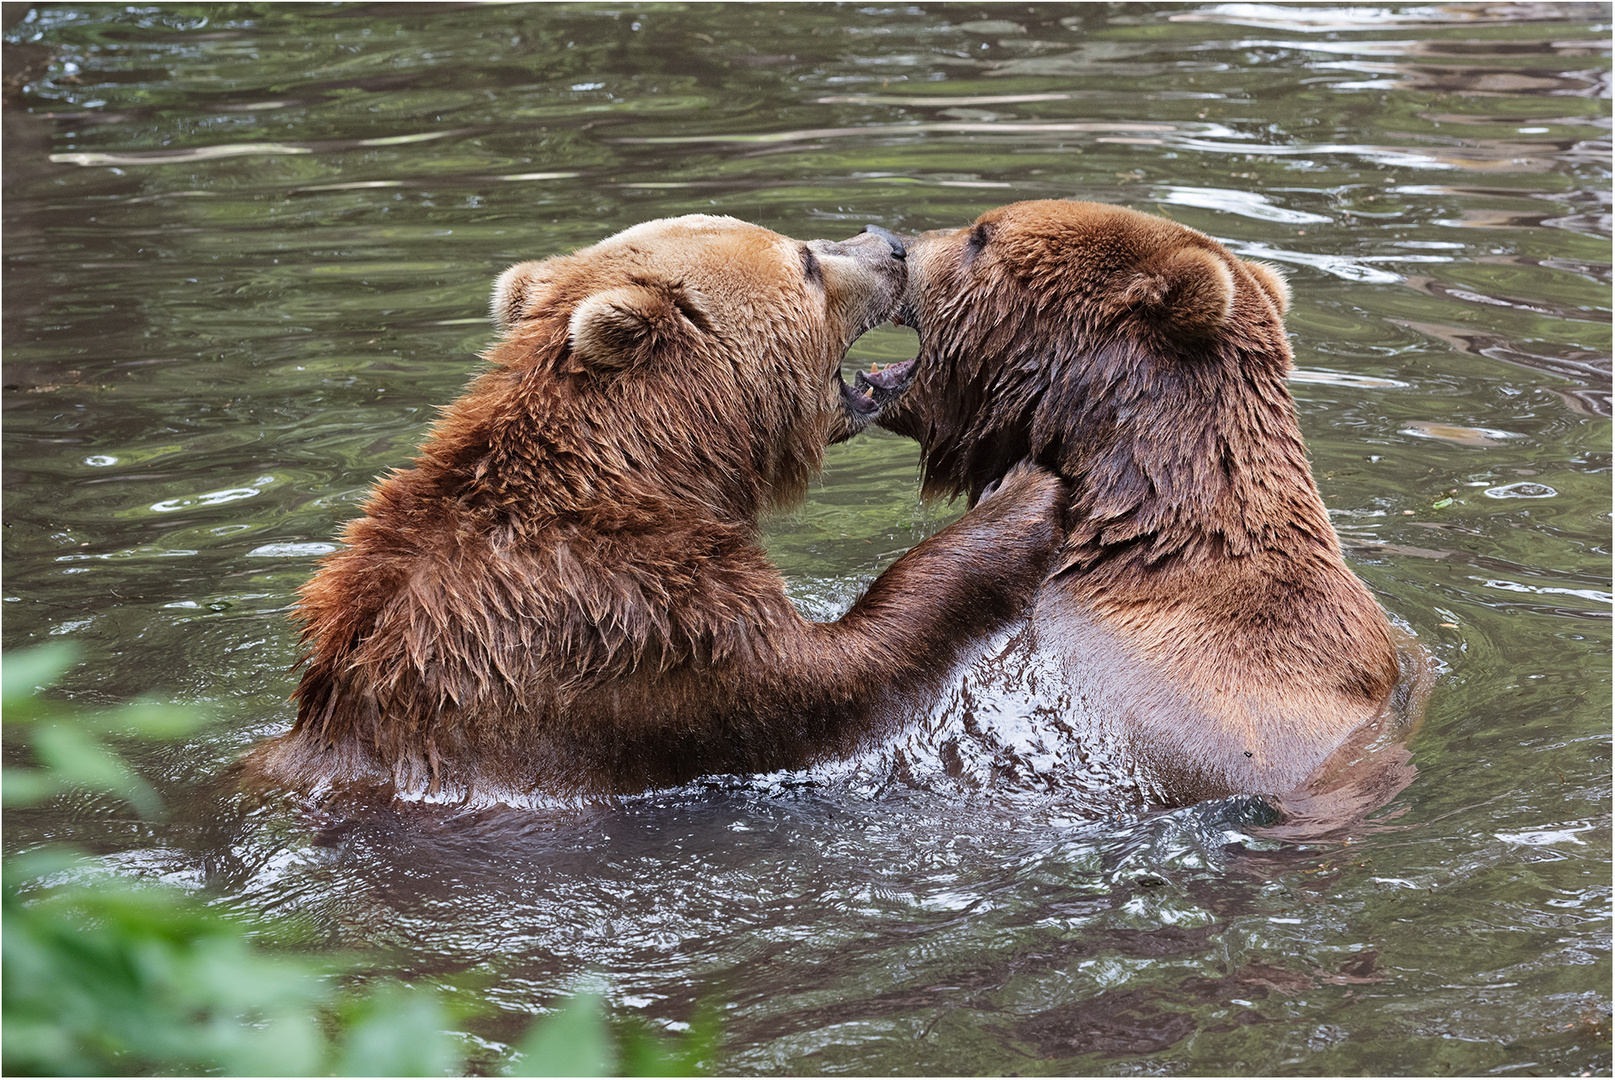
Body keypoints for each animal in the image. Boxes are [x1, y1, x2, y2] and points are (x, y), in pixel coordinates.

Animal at [242, 214, 1072, 800]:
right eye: (804, 260)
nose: (890, 244)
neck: (664, 464)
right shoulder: (637, 621)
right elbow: (836, 677)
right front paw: (1025, 497)